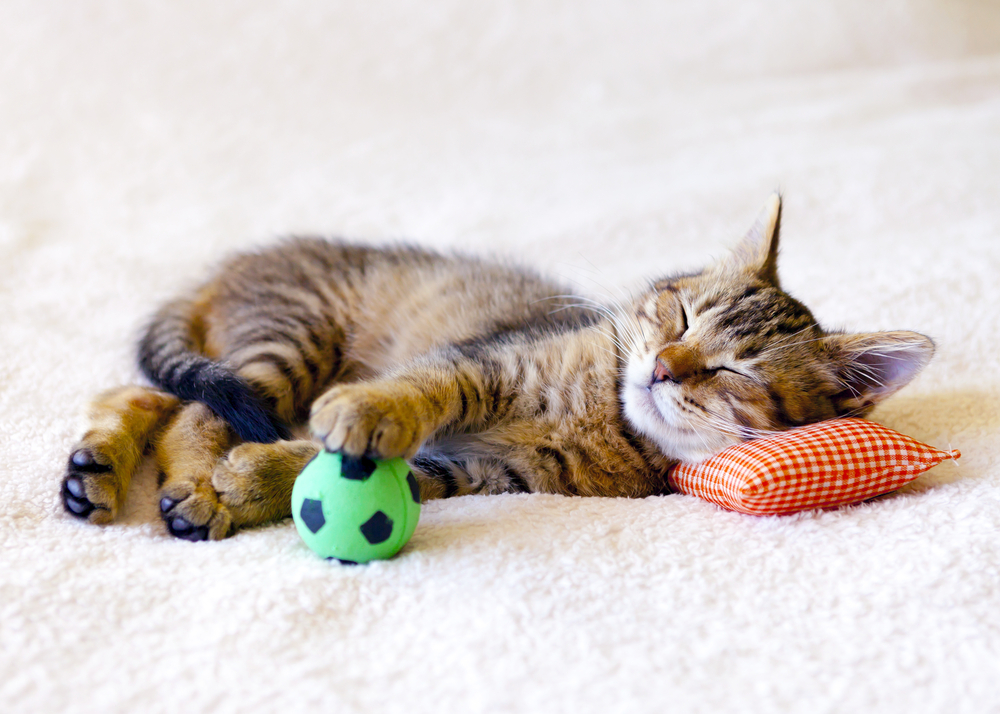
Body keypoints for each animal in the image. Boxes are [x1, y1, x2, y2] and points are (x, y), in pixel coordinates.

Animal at [62, 195, 932, 540]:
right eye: (681, 315)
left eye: (737, 373)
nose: (661, 368)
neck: (603, 414)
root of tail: (228, 268)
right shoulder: (486, 363)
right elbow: (408, 394)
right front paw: (360, 416)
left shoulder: (484, 475)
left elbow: (353, 469)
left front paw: (257, 483)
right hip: (286, 346)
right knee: (187, 405)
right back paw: (163, 477)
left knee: (150, 397)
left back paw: (111, 476)